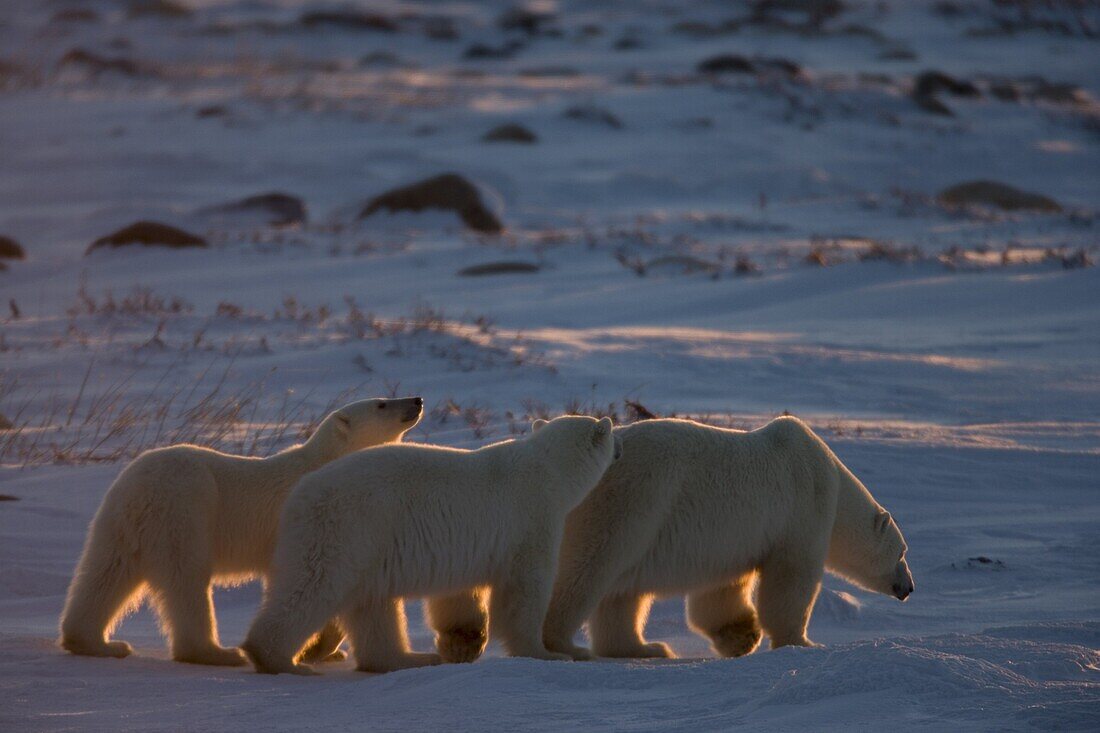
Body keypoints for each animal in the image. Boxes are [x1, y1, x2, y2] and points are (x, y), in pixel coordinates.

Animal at [58, 396, 429, 664]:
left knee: (106, 573)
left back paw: (96, 642)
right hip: (185, 510)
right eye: (381, 403)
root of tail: (140, 487)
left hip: (119, 522)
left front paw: (329, 650)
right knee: (186, 579)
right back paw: (216, 653)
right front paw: (319, 647)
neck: (327, 459)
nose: (417, 399)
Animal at [243, 413, 620, 669]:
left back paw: (409, 658)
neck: (548, 469)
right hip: (348, 529)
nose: (618, 450)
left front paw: (462, 641)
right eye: (612, 436)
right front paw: (547, 653)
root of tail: (300, 497)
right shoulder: (532, 519)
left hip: (366, 543)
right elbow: (524, 589)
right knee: (312, 586)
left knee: (371, 604)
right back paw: (274, 656)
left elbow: (459, 592)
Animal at [541, 413, 910, 660]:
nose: (909, 587)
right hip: (631, 502)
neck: (832, 479)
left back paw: (647, 648)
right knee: (587, 570)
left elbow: (721, 590)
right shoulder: (802, 509)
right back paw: (561, 642)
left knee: (621, 594)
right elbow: (791, 578)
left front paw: (741, 635)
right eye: (902, 552)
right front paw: (801, 642)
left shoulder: (733, 542)